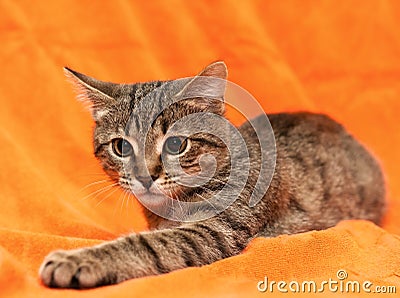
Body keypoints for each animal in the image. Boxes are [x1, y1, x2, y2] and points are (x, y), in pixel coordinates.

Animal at [38, 61, 384, 288]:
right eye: (121, 147)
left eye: (176, 144)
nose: (146, 176)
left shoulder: (214, 230)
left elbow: (149, 245)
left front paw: (77, 260)